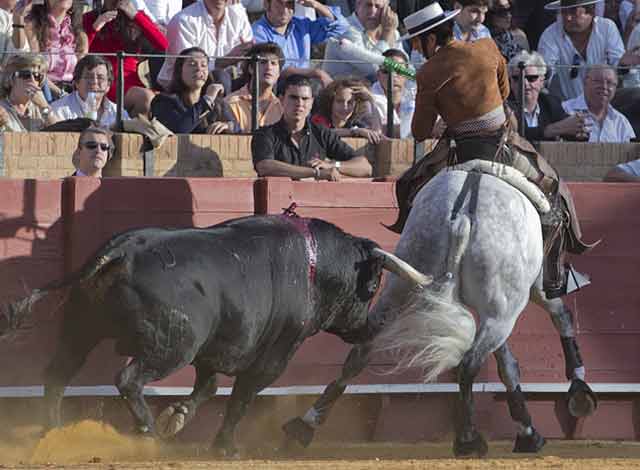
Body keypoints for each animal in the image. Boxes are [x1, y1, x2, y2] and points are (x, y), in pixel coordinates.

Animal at [1, 210, 430, 456]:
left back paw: (52, 431)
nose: (372, 327)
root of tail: (122, 250)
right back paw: (147, 433)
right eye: (371, 286)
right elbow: (241, 397)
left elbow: (207, 388)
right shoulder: (273, 356)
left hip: (81, 330)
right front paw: (224, 446)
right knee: (127, 378)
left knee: (57, 375)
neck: (314, 266)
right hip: (172, 347)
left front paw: (178, 417)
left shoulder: (216, 349)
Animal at [282, 163, 596, 458]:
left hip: (402, 284)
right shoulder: (532, 290)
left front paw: (528, 429)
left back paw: (305, 425)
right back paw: (468, 440)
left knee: (360, 352)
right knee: (470, 363)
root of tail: (463, 216)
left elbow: (508, 364)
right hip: (504, 309)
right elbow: (558, 319)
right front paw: (576, 392)